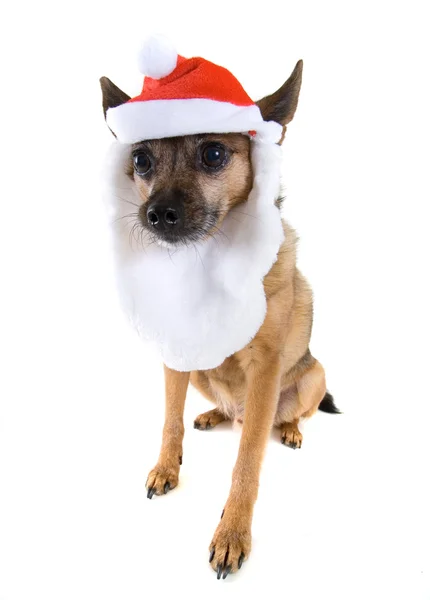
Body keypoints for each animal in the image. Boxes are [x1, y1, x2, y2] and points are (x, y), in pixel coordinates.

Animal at [100, 48, 340, 580]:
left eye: (213, 154)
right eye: (141, 159)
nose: (156, 214)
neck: (209, 261)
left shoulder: (267, 368)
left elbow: (248, 459)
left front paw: (232, 533)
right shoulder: (176, 356)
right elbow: (169, 419)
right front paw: (166, 468)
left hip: (313, 376)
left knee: (282, 416)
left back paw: (288, 429)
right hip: (202, 377)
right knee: (232, 414)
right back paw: (214, 415)